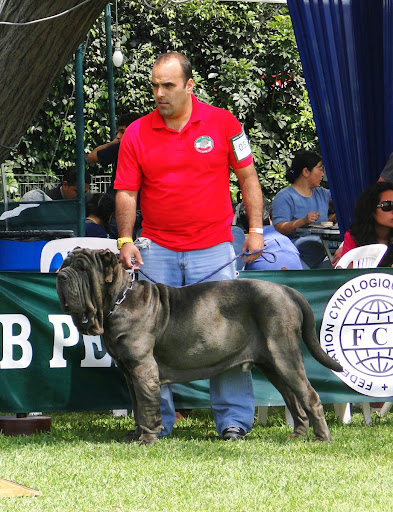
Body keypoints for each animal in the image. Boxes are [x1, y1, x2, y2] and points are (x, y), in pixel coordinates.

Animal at [56, 248, 342, 444]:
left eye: (83, 269)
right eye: (65, 264)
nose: (60, 276)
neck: (118, 300)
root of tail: (286, 289)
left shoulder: (142, 368)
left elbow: (147, 406)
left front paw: (146, 439)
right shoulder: (129, 372)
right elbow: (138, 406)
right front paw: (135, 435)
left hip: (284, 357)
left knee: (310, 397)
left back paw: (321, 438)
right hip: (272, 365)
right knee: (294, 400)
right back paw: (298, 435)